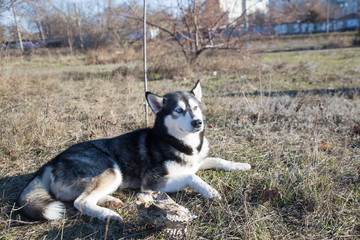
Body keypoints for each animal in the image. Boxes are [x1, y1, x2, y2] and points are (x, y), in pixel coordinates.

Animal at [16, 80, 252, 221]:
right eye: (178, 110)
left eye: (195, 107)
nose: (198, 122)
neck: (179, 143)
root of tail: (51, 162)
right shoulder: (151, 184)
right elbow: (190, 177)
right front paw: (210, 190)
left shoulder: (197, 159)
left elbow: (218, 160)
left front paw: (241, 165)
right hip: (111, 171)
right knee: (80, 201)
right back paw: (108, 214)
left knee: (83, 197)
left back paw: (110, 201)